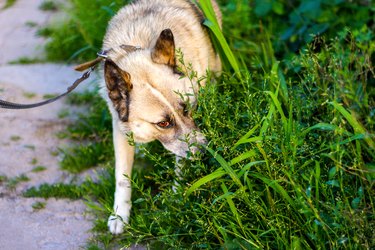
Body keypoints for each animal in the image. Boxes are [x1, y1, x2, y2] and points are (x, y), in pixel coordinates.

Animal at [100, 0, 223, 234]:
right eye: (163, 123)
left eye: (187, 109)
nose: (205, 152)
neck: (137, 45)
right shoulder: (119, 128)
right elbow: (122, 177)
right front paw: (120, 215)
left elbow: (180, 164)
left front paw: (177, 197)